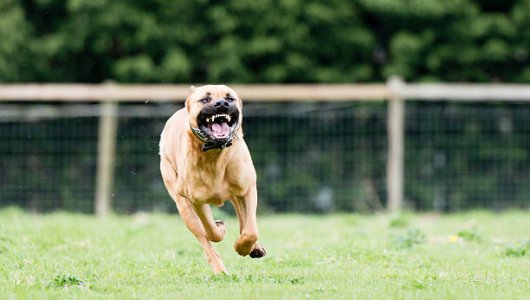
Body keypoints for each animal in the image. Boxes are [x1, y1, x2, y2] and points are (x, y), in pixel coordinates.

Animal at [157, 84, 264, 274]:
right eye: (205, 99)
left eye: (230, 98)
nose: (221, 104)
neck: (215, 152)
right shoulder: (197, 201)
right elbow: (211, 232)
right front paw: (221, 228)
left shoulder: (248, 189)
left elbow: (250, 230)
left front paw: (243, 247)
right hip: (183, 205)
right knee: (204, 238)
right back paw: (220, 270)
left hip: (236, 194)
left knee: (243, 220)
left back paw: (253, 247)